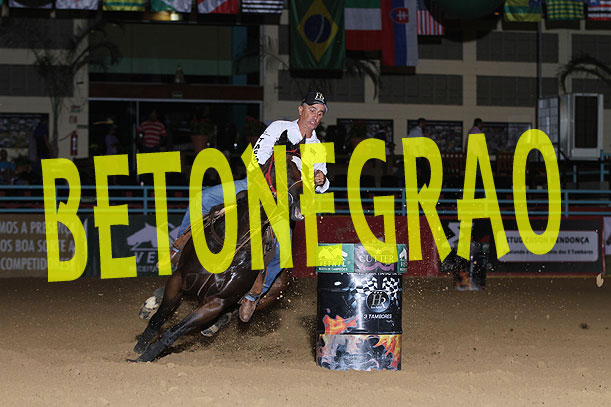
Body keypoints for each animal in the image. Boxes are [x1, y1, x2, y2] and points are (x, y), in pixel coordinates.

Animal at [131, 146, 303, 362]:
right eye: (285, 167)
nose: (299, 205)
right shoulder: (179, 279)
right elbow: (159, 317)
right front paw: (140, 347)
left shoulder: (215, 303)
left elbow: (173, 331)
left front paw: (147, 356)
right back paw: (150, 304)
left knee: (234, 312)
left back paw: (215, 326)